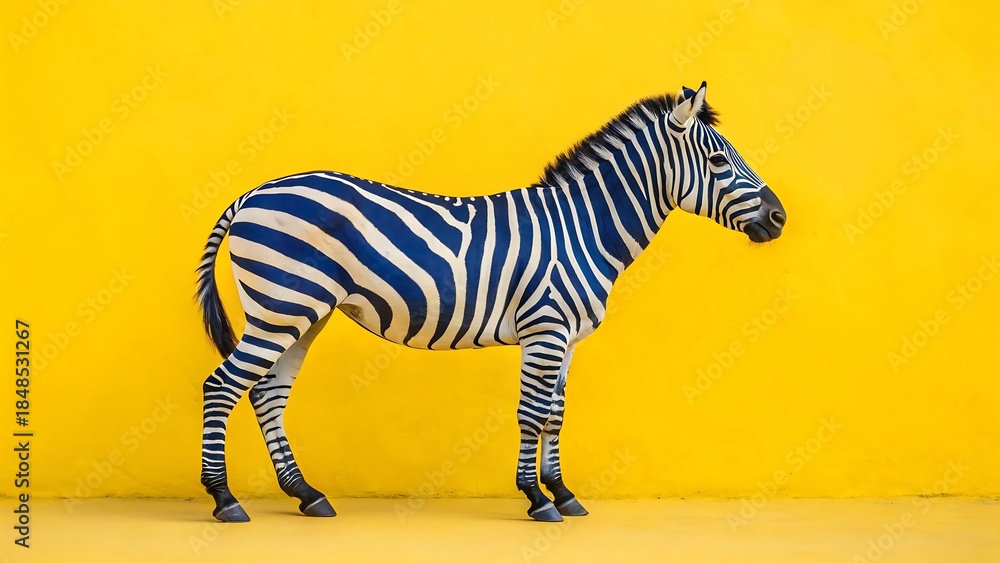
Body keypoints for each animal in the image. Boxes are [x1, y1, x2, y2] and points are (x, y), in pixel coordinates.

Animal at [195, 82, 785, 523]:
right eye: (718, 159)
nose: (779, 218)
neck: (582, 228)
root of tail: (251, 193)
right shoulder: (545, 328)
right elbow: (531, 413)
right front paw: (537, 499)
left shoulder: (568, 337)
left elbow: (556, 414)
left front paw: (564, 494)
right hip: (281, 308)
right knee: (222, 386)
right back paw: (225, 500)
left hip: (302, 314)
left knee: (267, 393)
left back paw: (307, 494)